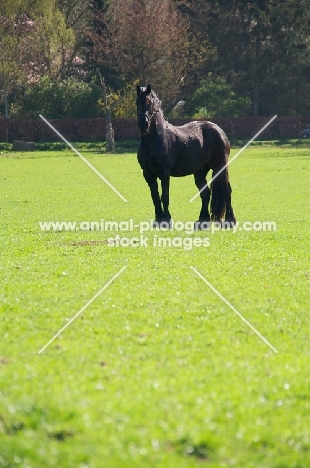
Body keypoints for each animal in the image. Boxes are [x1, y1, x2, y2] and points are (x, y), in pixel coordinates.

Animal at [137, 86, 236, 230]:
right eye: (137, 102)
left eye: (149, 102)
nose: (143, 124)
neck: (153, 140)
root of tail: (220, 131)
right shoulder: (148, 174)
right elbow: (155, 197)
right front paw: (158, 220)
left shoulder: (164, 173)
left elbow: (164, 196)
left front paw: (166, 220)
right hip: (200, 172)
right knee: (206, 194)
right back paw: (202, 221)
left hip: (220, 167)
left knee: (226, 191)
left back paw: (230, 221)